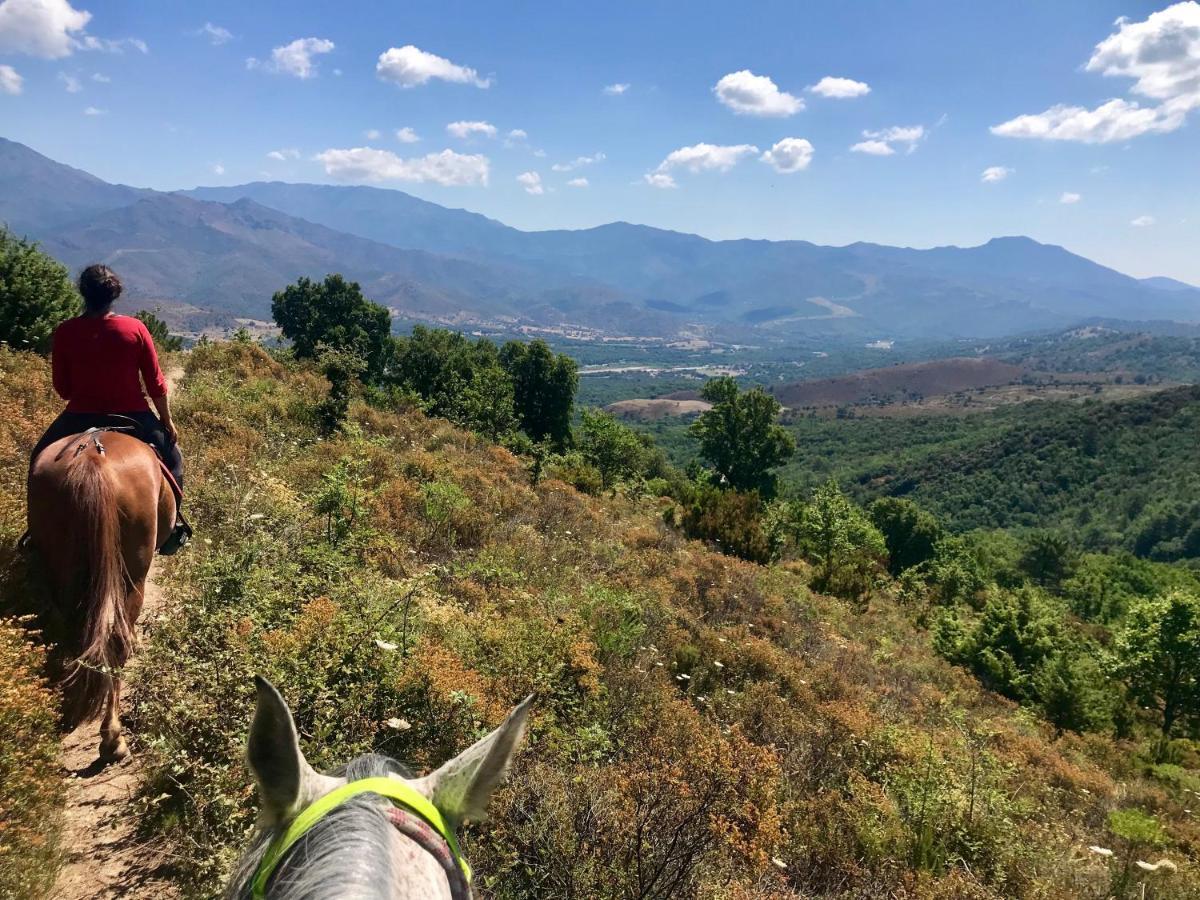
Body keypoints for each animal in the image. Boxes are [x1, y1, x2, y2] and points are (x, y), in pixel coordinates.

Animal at [26, 429, 175, 763]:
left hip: (63, 566)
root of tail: (92, 459)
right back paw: (112, 739)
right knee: (116, 638)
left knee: (75, 630)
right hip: (132, 569)